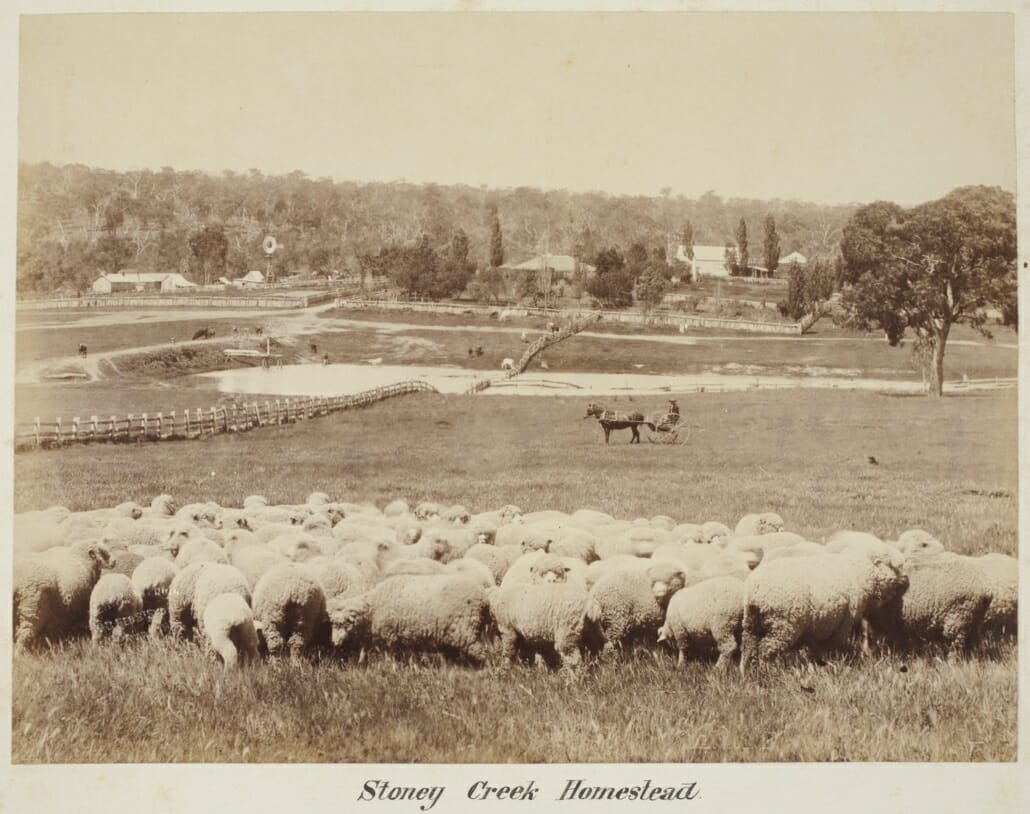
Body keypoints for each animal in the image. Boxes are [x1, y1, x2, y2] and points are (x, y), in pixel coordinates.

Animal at [329, 572, 490, 663]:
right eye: (333, 624)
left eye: (342, 624)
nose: (334, 643)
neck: (373, 606)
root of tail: (483, 598)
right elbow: (366, 649)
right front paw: (361, 664)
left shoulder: (389, 635)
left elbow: (390, 656)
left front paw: (391, 668)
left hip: (466, 629)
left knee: (482, 652)